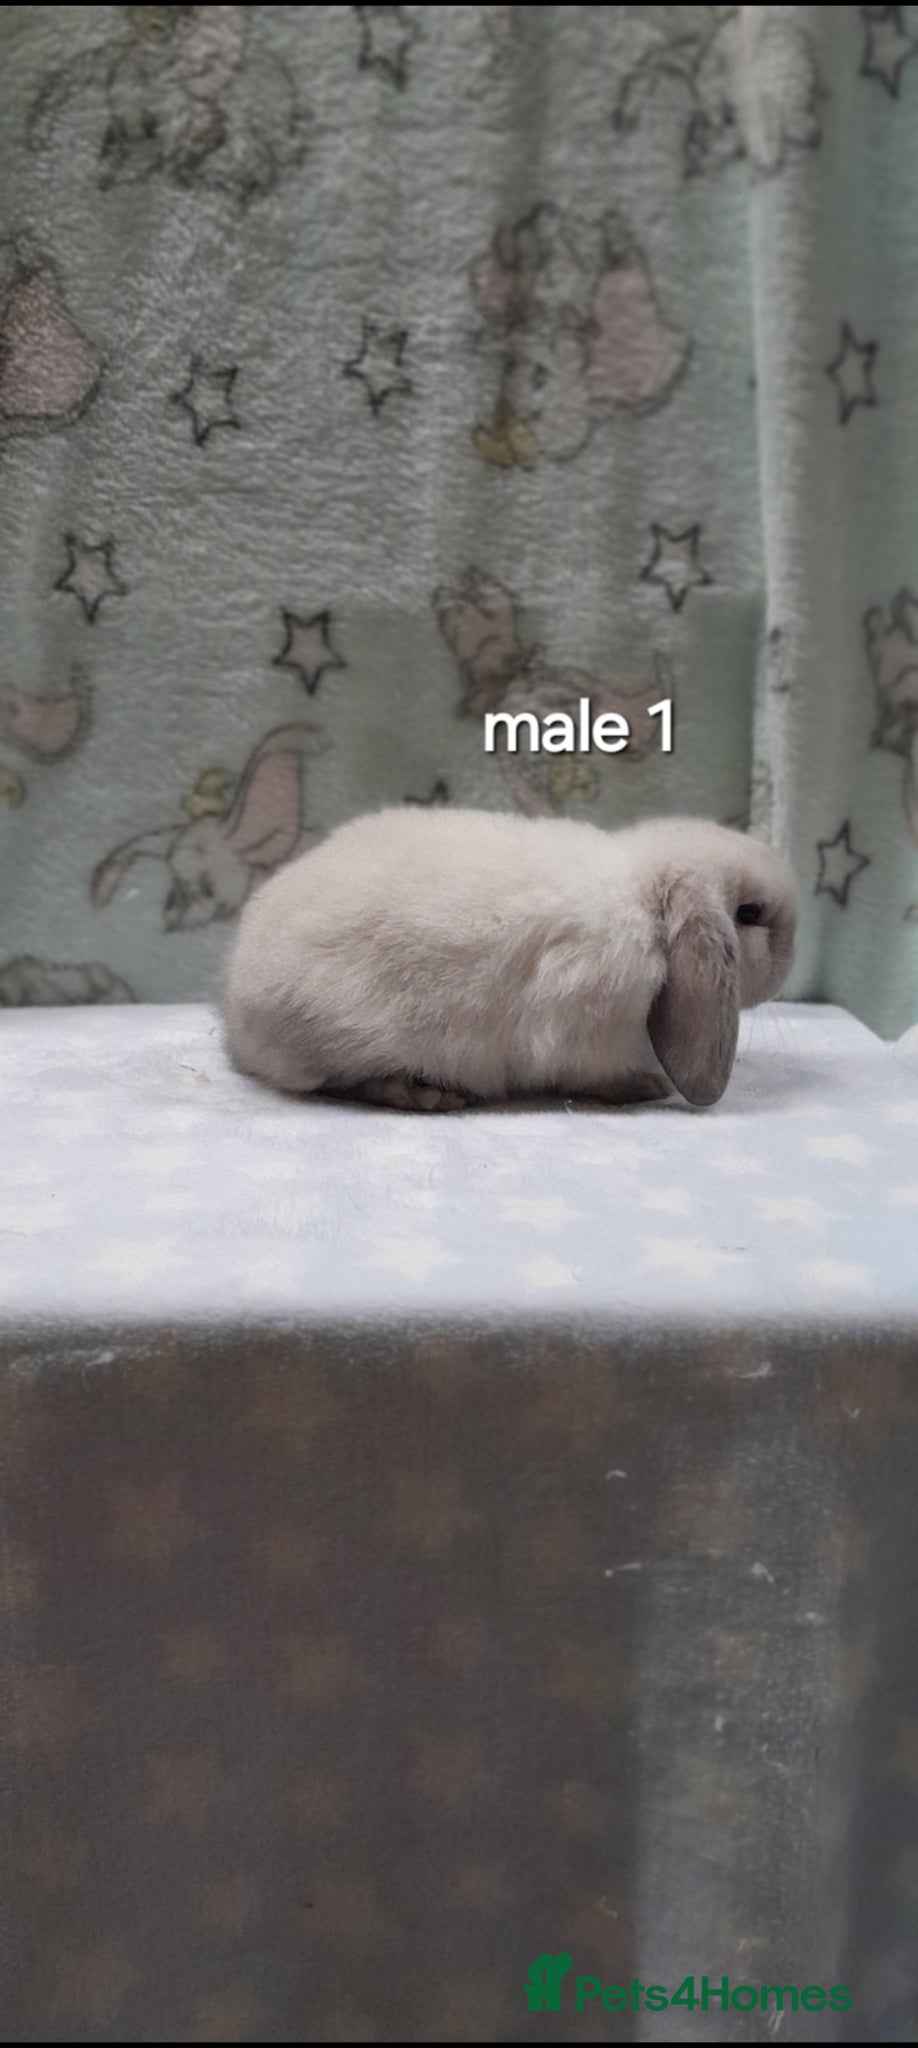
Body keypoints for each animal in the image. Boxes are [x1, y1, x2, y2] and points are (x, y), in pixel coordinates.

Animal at [222, 809, 797, 1111]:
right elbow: (590, 1077)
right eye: (749, 913)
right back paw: (428, 1095)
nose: (791, 959)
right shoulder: (582, 1034)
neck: (645, 902)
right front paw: (644, 1088)